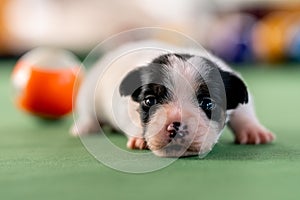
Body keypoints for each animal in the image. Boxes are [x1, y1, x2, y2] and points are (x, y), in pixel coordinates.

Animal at [71, 41, 276, 158]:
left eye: (207, 103)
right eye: (149, 101)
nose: (175, 126)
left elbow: (243, 111)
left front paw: (253, 130)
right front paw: (139, 137)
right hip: (88, 94)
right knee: (89, 113)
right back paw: (85, 126)